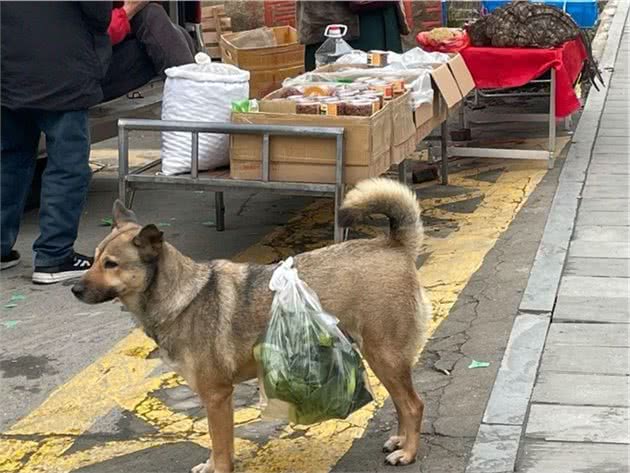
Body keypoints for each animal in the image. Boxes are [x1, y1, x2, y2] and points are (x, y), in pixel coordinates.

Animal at [73, 178, 430, 472]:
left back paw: (408, 453)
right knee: (402, 404)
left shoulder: (217, 396)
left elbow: (220, 447)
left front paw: (217, 467)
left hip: (384, 355)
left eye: (111, 264)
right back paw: (400, 441)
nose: (74, 289)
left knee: (413, 405)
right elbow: (218, 445)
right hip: (384, 359)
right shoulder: (217, 401)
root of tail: (395, 245)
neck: (181, 295)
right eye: (94, 259)